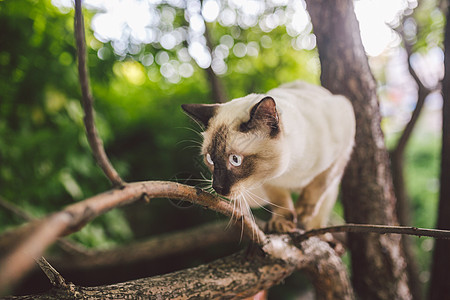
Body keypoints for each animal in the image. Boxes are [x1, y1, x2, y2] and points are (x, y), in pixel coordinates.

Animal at [180, 81, 356, 232]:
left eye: (235, 160)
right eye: (210, 159)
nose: (217, 187)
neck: (290, 170)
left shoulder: (343, 149)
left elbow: (319, 183)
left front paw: (302, 211)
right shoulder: (268, 179)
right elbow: (279, 200)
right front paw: (281, 222)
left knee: (320, 211)